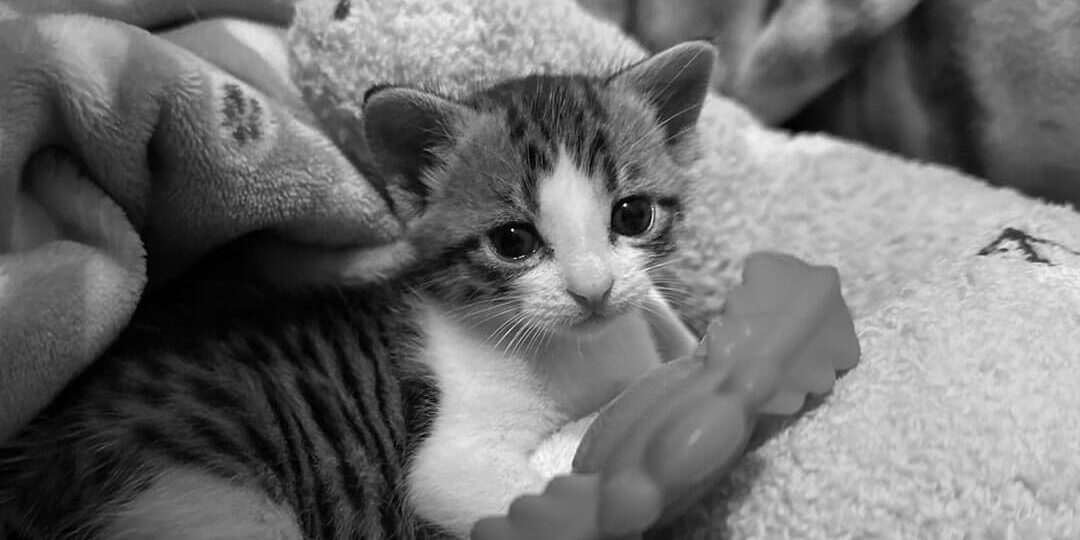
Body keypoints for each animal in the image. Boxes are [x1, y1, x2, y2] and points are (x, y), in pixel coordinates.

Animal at [0, 43, 717, 540]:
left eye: (632, 215)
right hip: (204, 497)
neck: (574, 351)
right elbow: (515, 495)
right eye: (513, 241)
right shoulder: (447, 465)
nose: (593, 289)